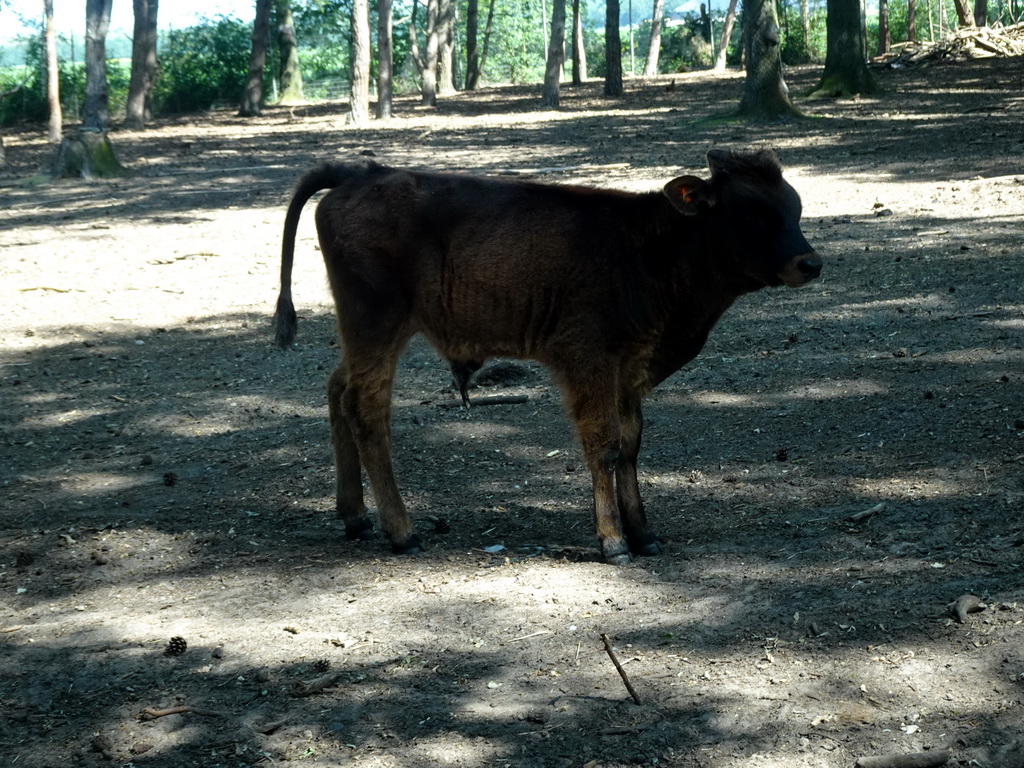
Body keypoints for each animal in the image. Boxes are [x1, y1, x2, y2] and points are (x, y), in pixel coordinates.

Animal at [276, 148, 819, 565]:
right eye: (750, 213)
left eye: (793, 207)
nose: (810, 263)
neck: (649, 247)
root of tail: (359, 174)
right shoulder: (590, 364)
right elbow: (604, 447)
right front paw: (613, 542)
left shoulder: (628, 370)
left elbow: (630, 447)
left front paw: (644, 534)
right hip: (377, 324)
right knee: (366, 410)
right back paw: (401, 532)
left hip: (365, 334)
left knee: (337, 391)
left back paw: (355, 517)